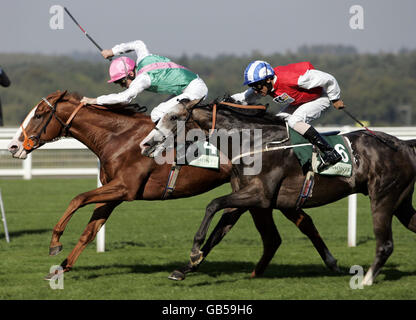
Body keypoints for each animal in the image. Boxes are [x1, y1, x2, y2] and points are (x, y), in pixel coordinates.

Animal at [6, 90, 338, 280]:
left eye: (39, 114)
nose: (12, 146)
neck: (119, 137)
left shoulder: (125, 188)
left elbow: (76, 198)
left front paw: (54, 243)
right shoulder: (115, 193)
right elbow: (90, 230)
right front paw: (62, 268)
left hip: (260, 192)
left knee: (291, 228)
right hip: (266, 195)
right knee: (295, 226)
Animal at [141, 98, 416, 284]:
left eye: (173, 118)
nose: (146, 144)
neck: (254, 143)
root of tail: (403, 144)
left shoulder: (260, 196)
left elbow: (212, 204)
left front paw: (195, 248)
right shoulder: (243, 199)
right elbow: (218, 231)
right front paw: (187, 267)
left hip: (383, 197)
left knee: (385, 243)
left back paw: (366, 279)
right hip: (400, 202)